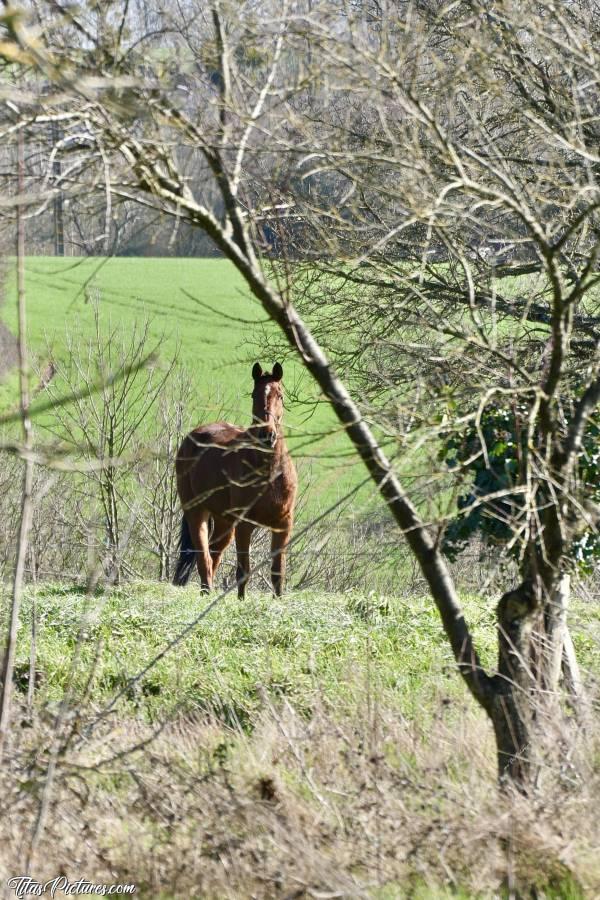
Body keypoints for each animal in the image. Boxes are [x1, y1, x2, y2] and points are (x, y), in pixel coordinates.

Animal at [172, 358, 296, 596]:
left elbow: (278, 572)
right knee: (204, 559)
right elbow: (243, 571)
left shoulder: (282, 525)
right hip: (197, 512)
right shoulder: (244, 525)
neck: (268, 473)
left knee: (213, 556)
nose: (267, 434)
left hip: (223, 523)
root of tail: (192, 438)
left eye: (280, 395)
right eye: (254, 395)